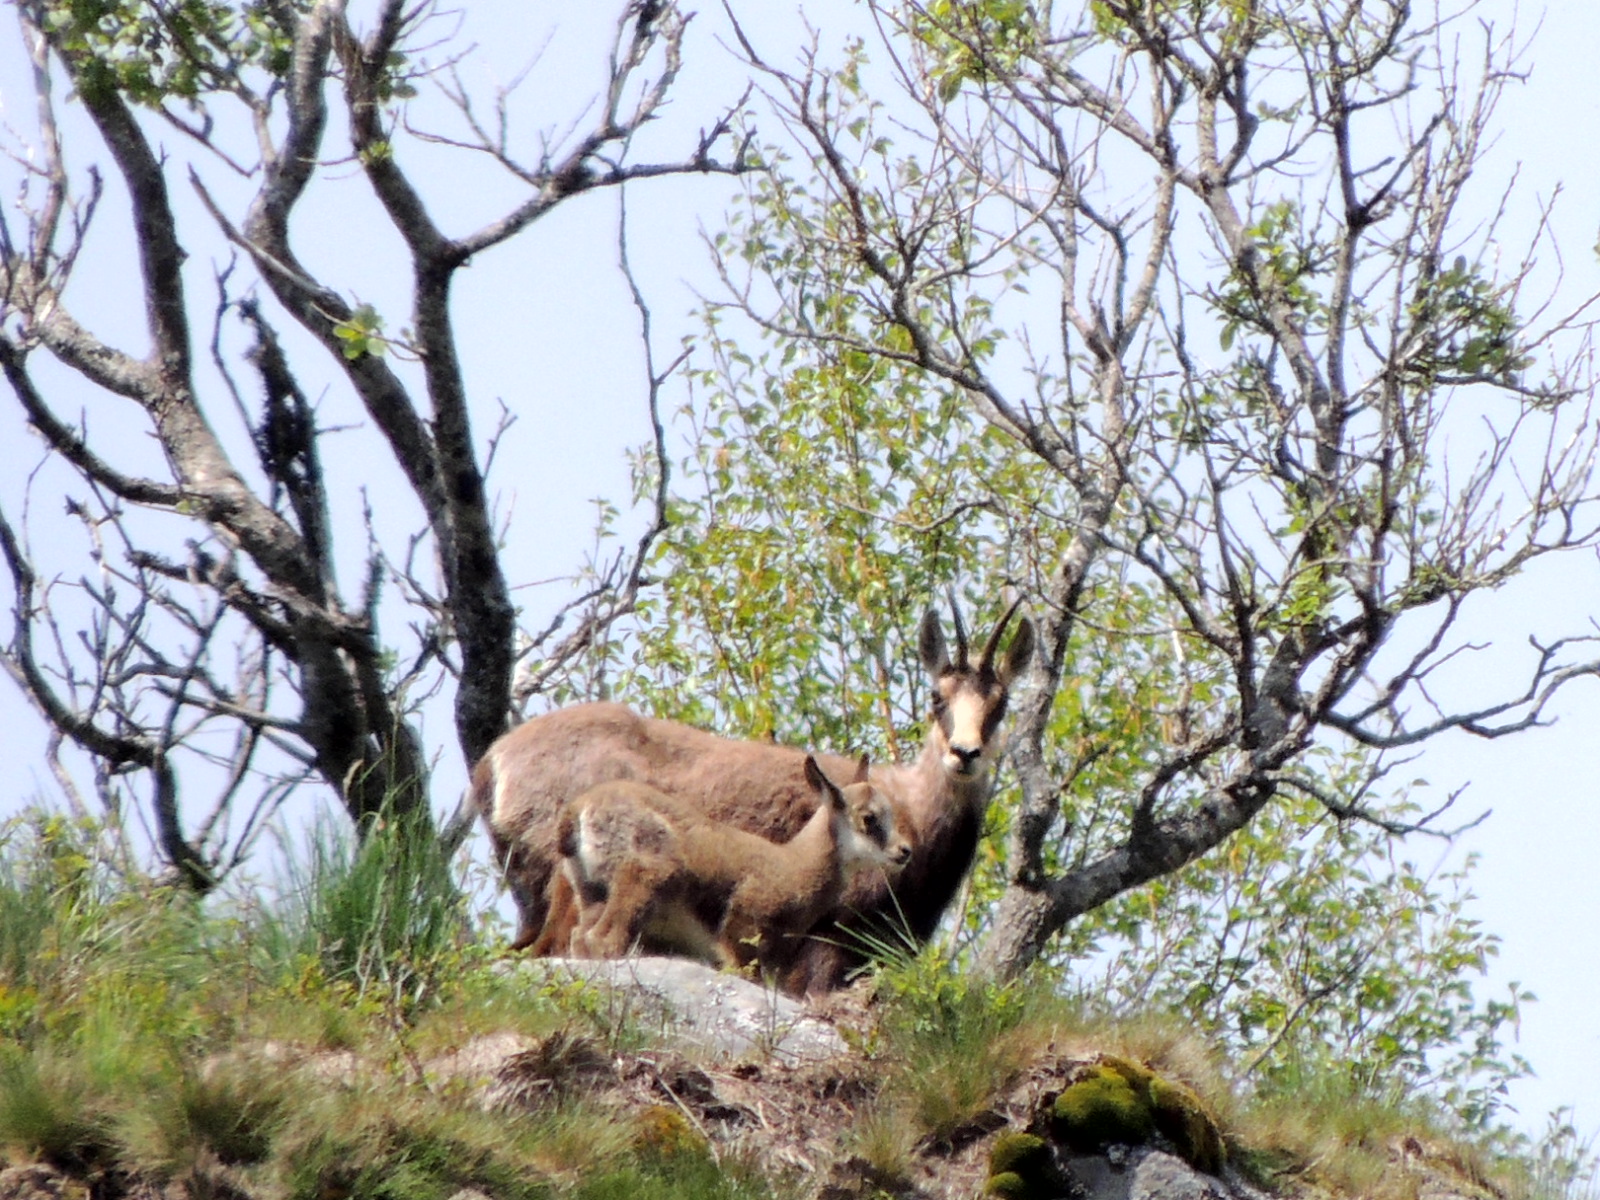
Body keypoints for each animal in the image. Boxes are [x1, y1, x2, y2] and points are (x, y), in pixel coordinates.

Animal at [559, 755, 911, 973]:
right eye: (869, 818)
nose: (904, 851)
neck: (794, 865)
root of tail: (580, 810)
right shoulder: (741, 935)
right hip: (645, 878)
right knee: (604, 938)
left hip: (591, 890)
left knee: (579, 936)